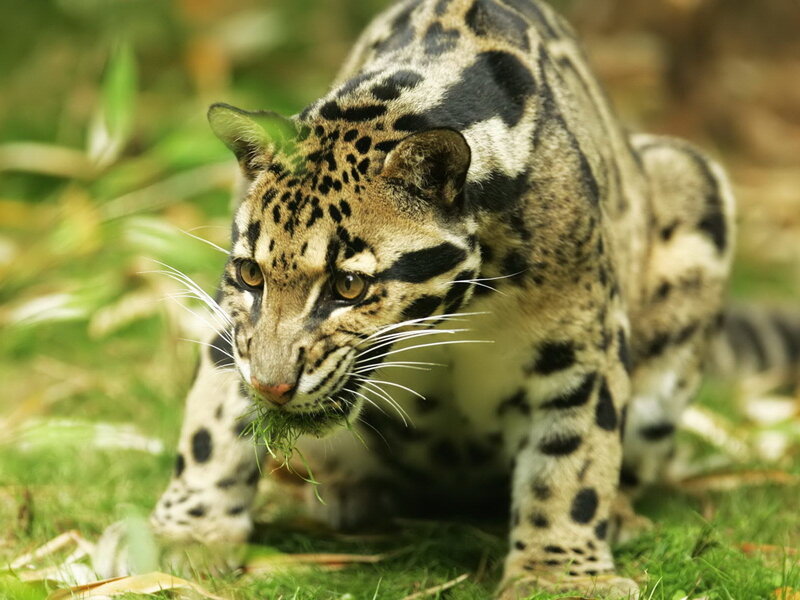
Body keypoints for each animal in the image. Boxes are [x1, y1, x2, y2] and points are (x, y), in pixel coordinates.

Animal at [93, 0, 800, 597]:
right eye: (249, 275)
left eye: (348, 285)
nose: (271, 387)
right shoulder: (233, 326)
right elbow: (211, 422)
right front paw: (182, 533)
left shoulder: (583, 343)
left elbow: (572, 459)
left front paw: (560, 575)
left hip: (690, 185)